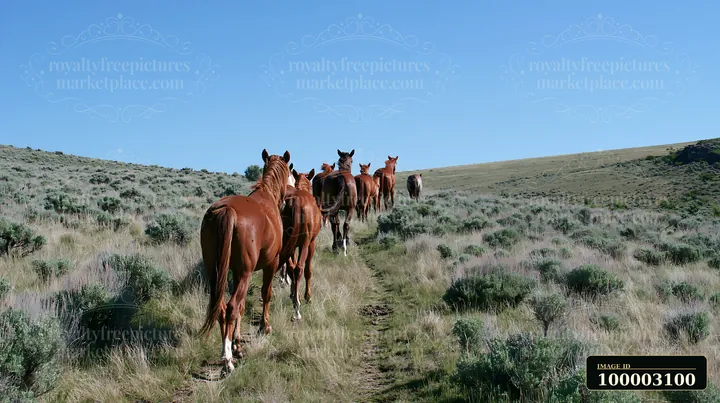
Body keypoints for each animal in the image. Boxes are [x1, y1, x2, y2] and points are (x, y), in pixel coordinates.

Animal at [199, 149, 291, 374]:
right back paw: (227, 361)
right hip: (246, 273)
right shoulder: (271, 264)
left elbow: (241, 307)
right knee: (231, 307)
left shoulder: (233, 271)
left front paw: (237, 343)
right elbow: (265, 294)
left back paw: (228, 352)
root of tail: (226, 210)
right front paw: (265, 326)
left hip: (216, 271)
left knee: (222, 307)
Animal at [278, 168, 321, 321]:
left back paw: (295, 298)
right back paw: (297, 309)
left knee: (291, 268)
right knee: (299, 269)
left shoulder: (292, 246)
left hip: (288, 243)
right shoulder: (310, 244)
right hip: (305, 244)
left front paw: (293, 293)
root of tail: (295, 202)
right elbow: (308, 270)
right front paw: (308, 296)